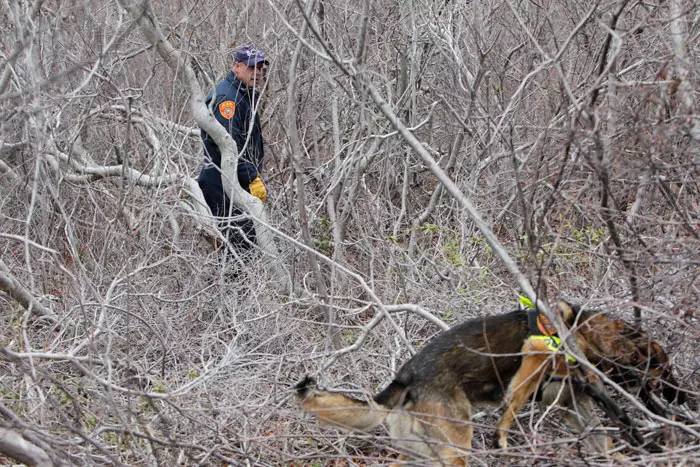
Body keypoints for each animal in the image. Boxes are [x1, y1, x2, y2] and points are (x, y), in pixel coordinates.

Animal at [296, 302, 684, 466]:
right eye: (666, 370)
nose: (681, 397)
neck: (585, 334)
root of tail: (405, 377)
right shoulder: (534, 356)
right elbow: (511, 408)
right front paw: (502, 440)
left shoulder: (570, 403)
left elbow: (602, 438)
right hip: (455, 449)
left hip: (424, 454)